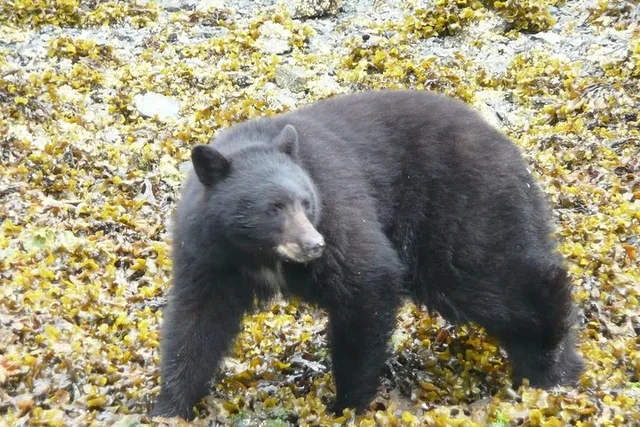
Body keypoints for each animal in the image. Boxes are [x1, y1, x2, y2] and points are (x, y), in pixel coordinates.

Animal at [150, 90, 584, 420]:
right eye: (272, 208)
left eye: (306, 202)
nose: (314, 245)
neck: (258, 255)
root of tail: (510, 150)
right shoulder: (209, 255)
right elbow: (196, 320)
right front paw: (170, 406)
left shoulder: (337, 205)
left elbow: (366, 279)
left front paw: (346, 405)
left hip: (458, 213)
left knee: (496, 279)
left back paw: (552, 357)